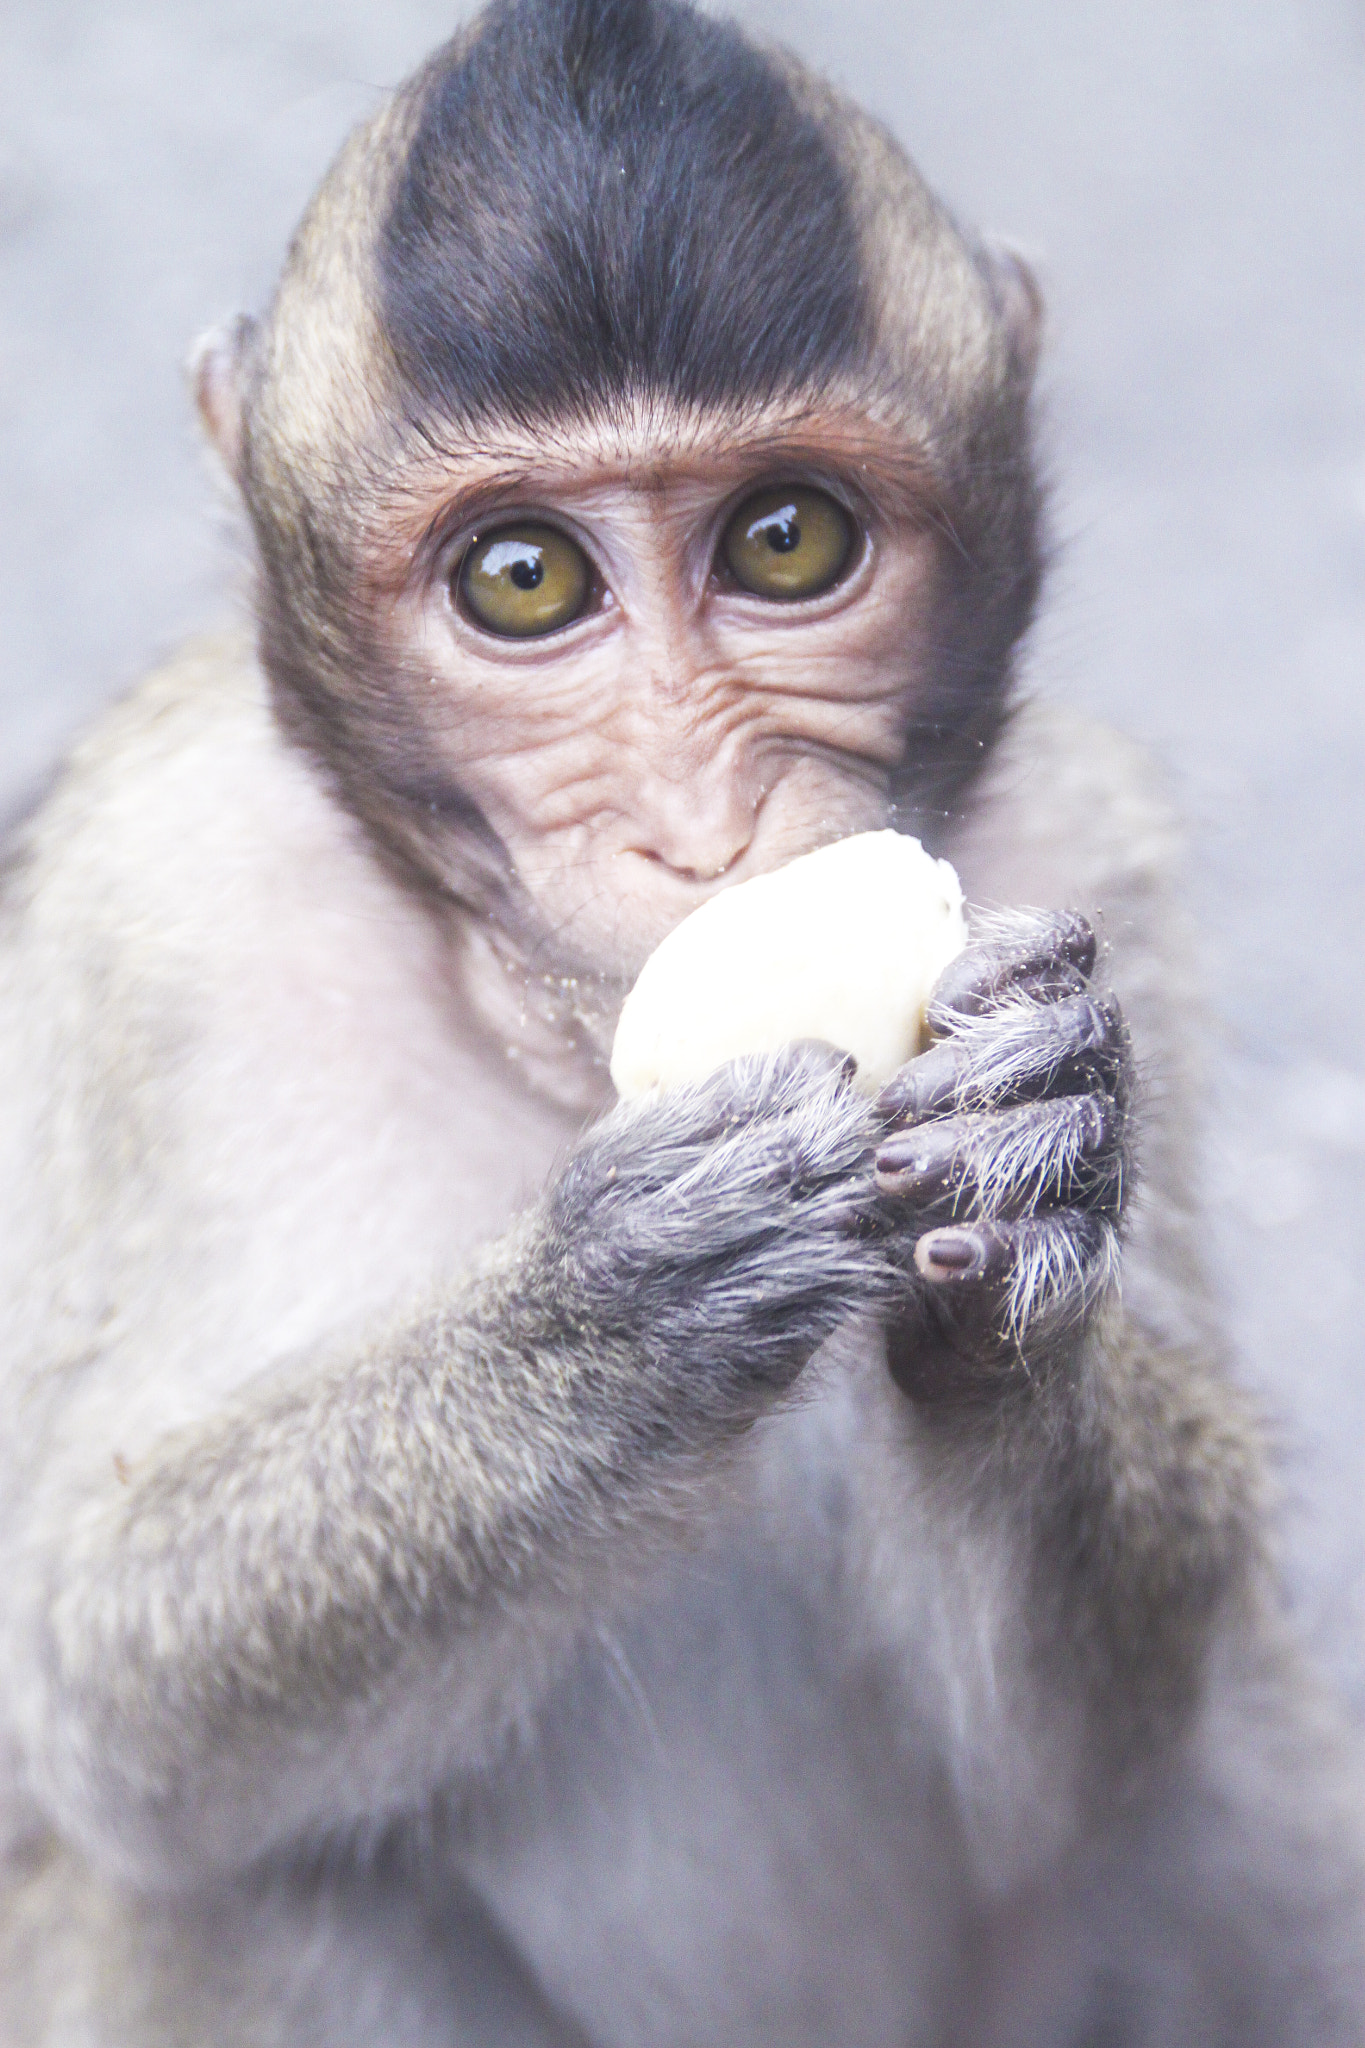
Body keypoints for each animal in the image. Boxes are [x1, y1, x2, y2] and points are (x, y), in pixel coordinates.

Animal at [1, 0, 1363, 2041]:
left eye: (787, 542)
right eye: (525, 579)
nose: (702, 824)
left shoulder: (1095, 839)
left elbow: (1118, 1733)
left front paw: (1025, 1194)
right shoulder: (144, 910)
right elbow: (90, 1689)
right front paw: (613, 1313)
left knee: (1223, 1756)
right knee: (231, 1883)